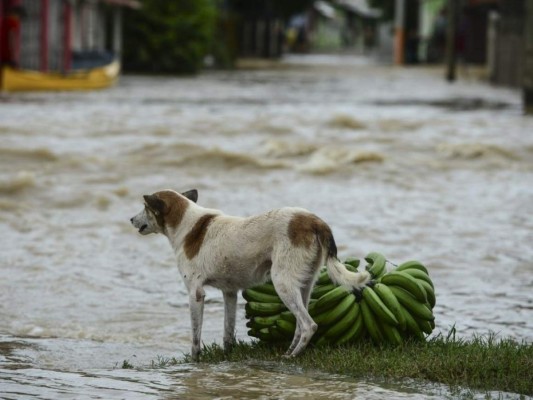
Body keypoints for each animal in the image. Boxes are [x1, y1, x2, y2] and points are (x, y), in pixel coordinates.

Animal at [131, 188, 370, 360]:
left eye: (144, 207)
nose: (131, 219)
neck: (187, 225)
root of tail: (314, 221)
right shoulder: (230, 293)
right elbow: (228, 332)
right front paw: (227, 356)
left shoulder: (195, 294)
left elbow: (195, 338)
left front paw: (195, 361)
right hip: (303, 285)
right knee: (300, 324)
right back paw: (290, 350)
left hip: (282, 283)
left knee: (308, 325)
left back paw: (292, 356)